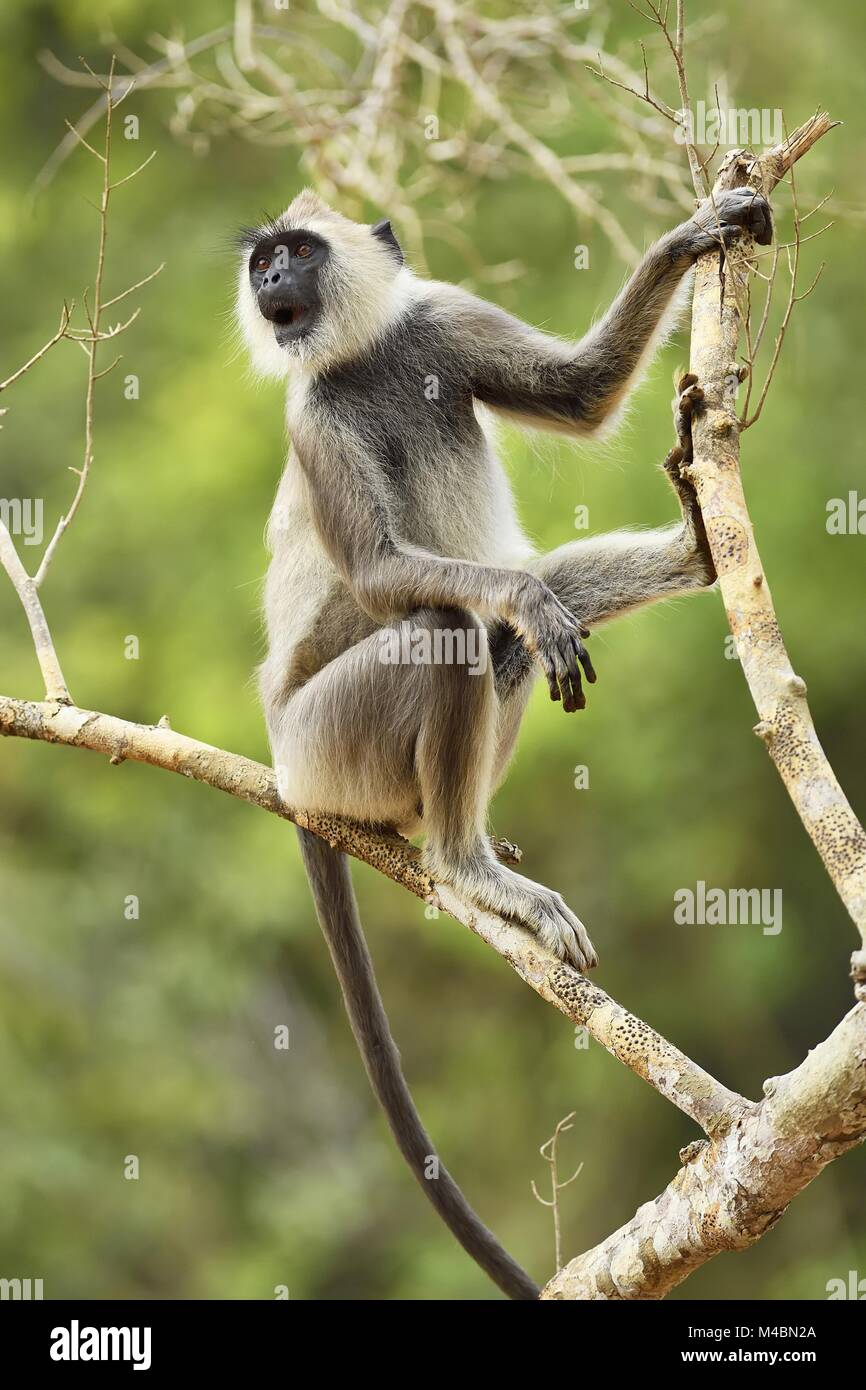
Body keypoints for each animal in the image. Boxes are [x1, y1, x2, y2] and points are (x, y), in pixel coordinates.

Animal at [234, 184, 772, 1301]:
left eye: (295, 253)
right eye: (265, 261)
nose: (271, 281)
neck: (361, 358)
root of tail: (284, 763)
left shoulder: (437, 320)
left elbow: (578, 393)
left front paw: (695, 232)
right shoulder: (310, 420)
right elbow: (383, 572)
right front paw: (513, 593)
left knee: (520, 626)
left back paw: (696, 547)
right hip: (327, 738)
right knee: (455, 624)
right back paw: (464, 863)